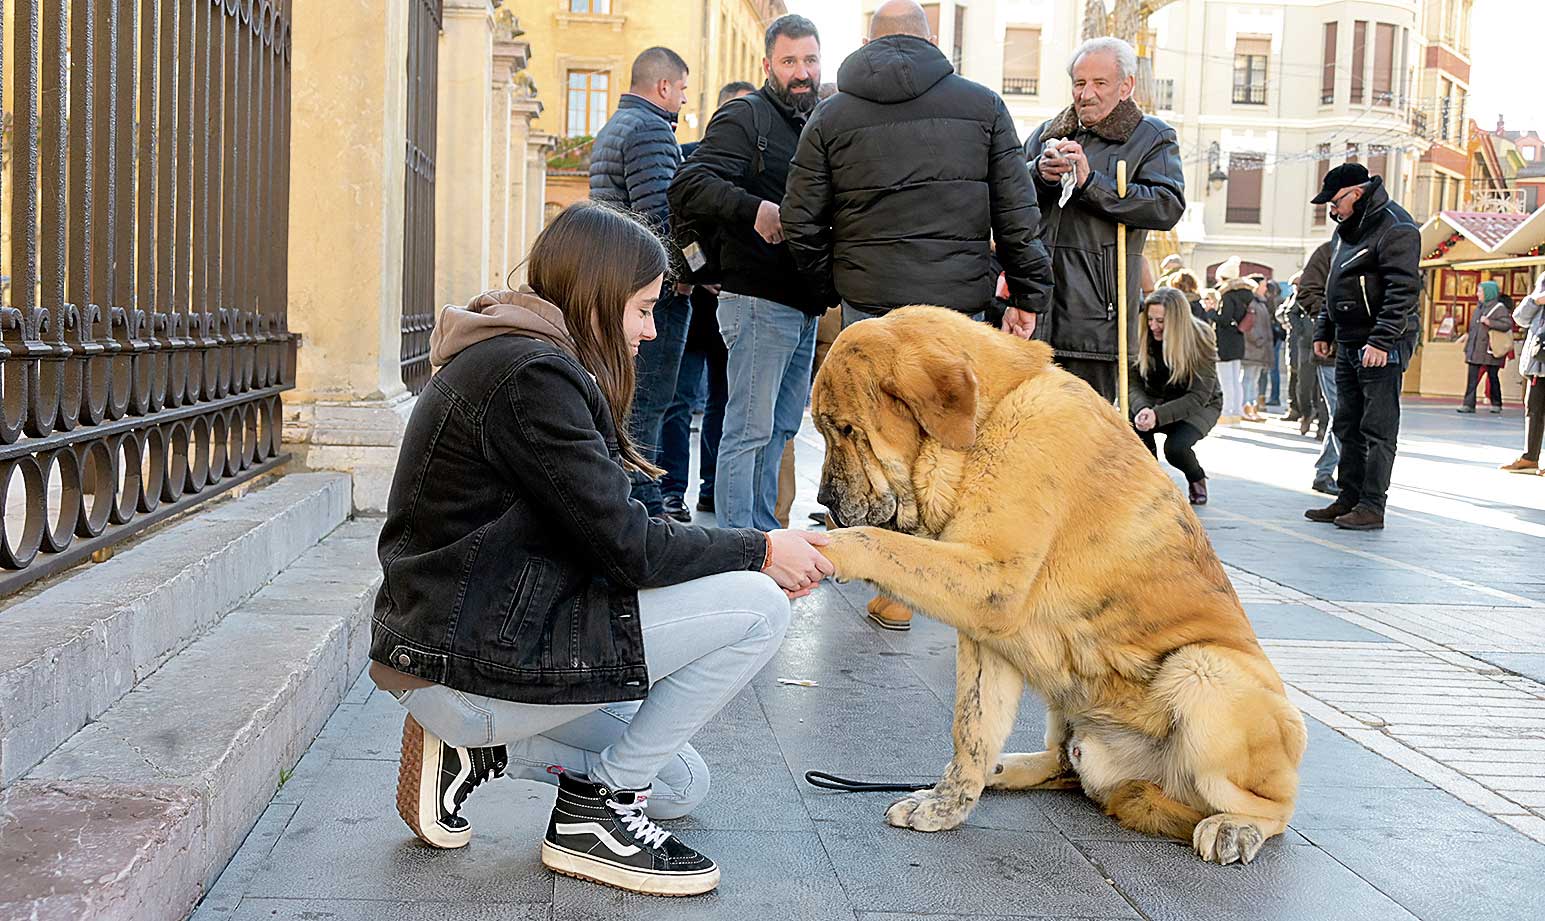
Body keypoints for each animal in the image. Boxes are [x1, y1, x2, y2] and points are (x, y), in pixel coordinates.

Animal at [815, 307, 1310, 865]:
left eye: (847, 430)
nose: (824, 499)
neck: (987, 422)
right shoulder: (988, 637)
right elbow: (971, 729)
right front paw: (945, 805)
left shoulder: (991, 580)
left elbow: (877, 542)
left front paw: (822, 547)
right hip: (1069, 697)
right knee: (1065, 766)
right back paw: (1004, 770)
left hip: (1206, 670)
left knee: (1275, 807)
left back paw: (1234, 827)